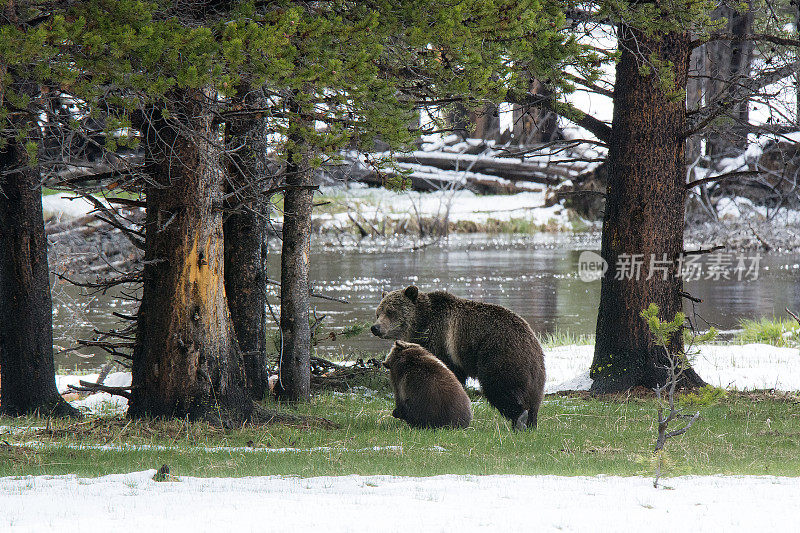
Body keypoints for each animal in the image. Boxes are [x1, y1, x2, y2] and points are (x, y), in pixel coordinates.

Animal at [372, 284, 548, 430]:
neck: (421, 322)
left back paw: (519, 418)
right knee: (534, 399)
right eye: (378, 313)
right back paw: (531, 422)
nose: (375, 328)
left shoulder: (440, 341)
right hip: (536, 373)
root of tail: (533, 342)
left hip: (499, 356)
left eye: (390, 311)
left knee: (500, 387)